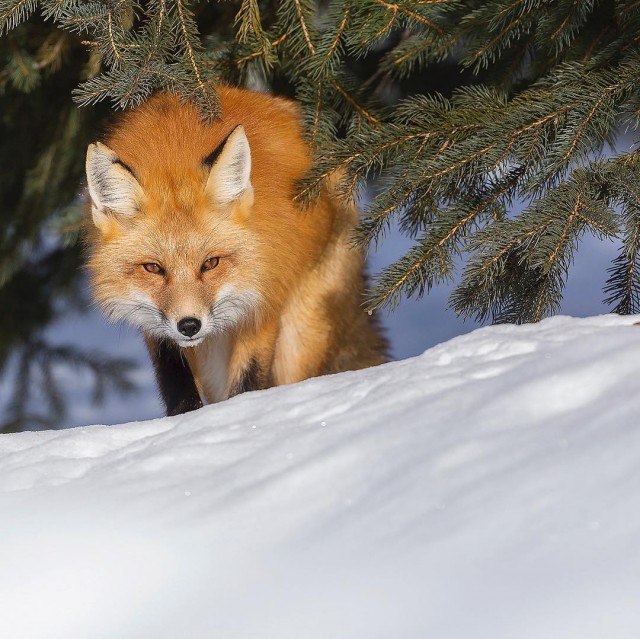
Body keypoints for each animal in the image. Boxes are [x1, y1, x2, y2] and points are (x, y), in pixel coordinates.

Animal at [84, 87, 384, 418]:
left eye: (210, 263)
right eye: (153, 268)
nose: (189, 325)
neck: (174, 152)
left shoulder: (263, 301)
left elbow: (248, 384)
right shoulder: (154, 325)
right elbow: (176, 385)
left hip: (299, 339)